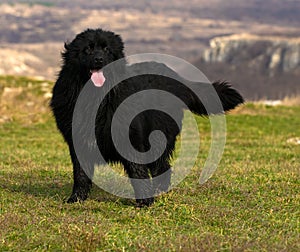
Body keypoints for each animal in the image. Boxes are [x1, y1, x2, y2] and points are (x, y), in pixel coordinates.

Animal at [50, 28, 244, 207]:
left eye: (106, 50)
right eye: (88, 49)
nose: (99, 59)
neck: (97, 97)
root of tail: (177, 79)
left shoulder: (130, 138)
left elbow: (137, 170)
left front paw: (144, 201)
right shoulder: (78, 141)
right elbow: (80, 174)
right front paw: (76, 198)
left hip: (158, 137)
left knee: (161, 167)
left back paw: (158, 191)